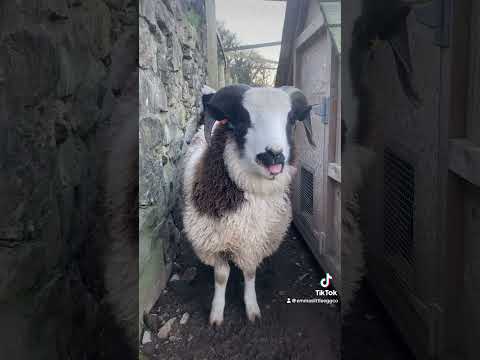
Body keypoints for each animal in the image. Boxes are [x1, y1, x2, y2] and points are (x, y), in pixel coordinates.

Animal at [182, 84, 314, 326]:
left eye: (291, 119)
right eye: (242, 119)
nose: (274, 154)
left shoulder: (254, 242)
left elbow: (250, 273)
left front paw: (252, 309)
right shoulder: (215, 242)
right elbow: (221, 276)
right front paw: (216, 314)